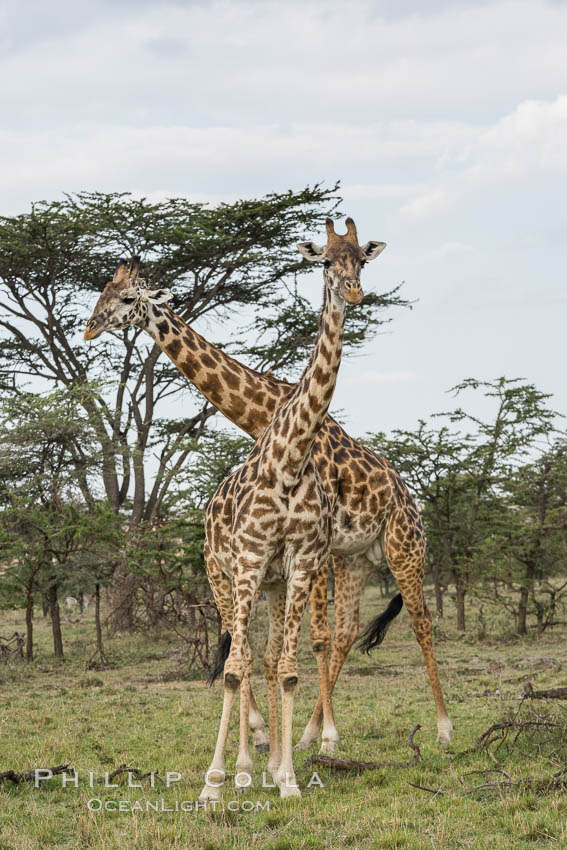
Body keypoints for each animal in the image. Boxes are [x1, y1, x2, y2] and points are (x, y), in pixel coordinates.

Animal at [84, 224, 454, 748]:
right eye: (104, 290)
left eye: (127, 296)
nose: (91, 326)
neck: (264, 413)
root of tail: (410, 498)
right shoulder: (312, 550)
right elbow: (290, 643)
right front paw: (301, 734)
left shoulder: (313, 543)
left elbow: (308, 639)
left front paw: (322, 737)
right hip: (357, 558)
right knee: (347, 631)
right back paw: (307, 730)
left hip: (405, 549)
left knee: (420, 622)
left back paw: (441, 728)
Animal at [200, 215, 368, 800]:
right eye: (325, 260)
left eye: (363, 259)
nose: (354, 293)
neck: (292, 459)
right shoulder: (251, 560)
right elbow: (233, 669)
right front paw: (215, 783)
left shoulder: (299, 563)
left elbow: (290, 669)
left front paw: (288, 779)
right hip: (225, 578)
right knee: (241, 658)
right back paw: (238, 769)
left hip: (271, 584)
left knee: (268, 658)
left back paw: (264, 766)